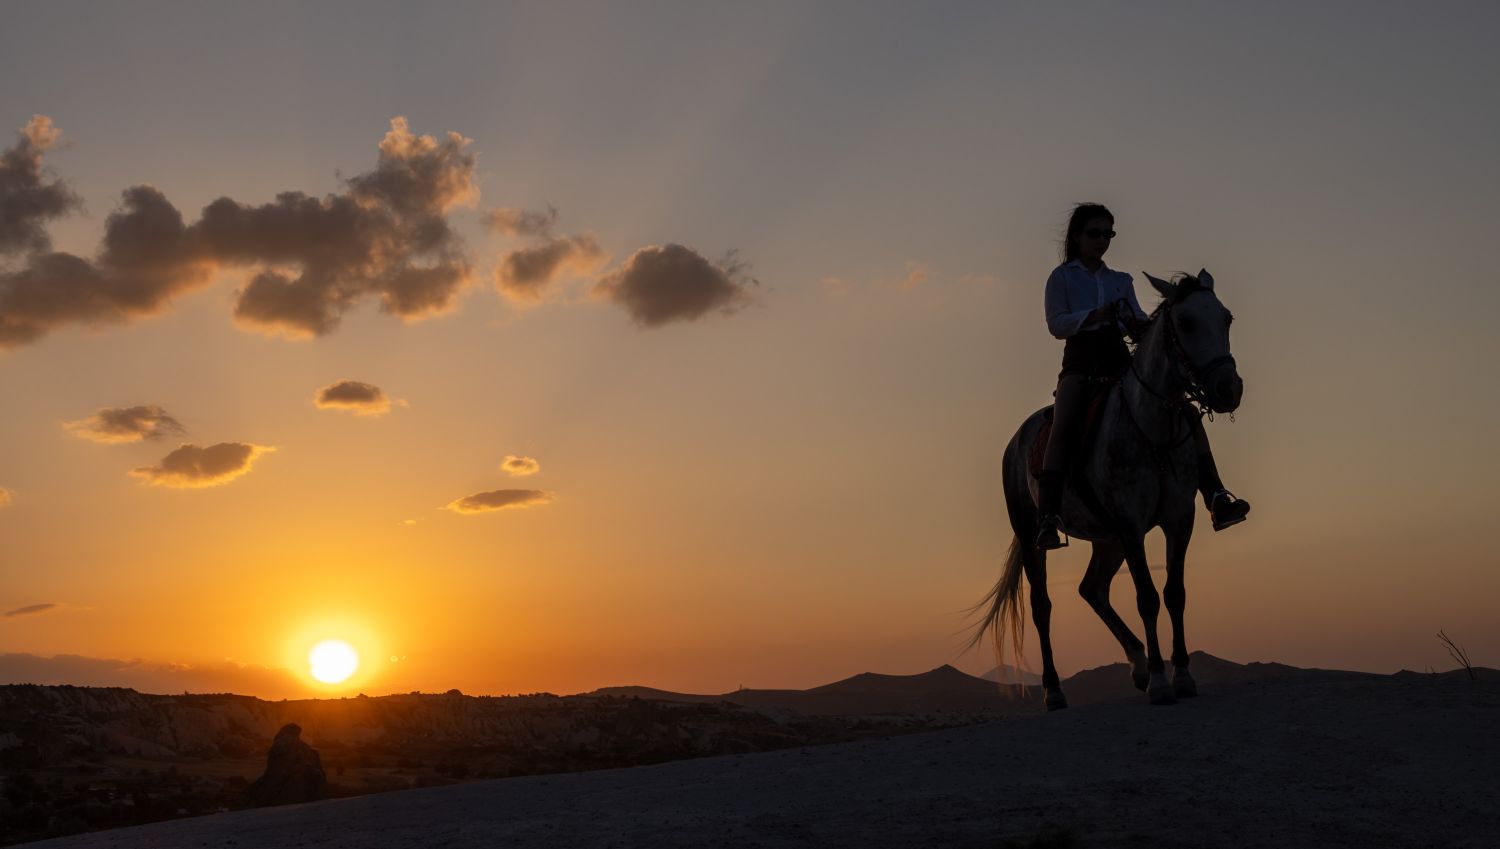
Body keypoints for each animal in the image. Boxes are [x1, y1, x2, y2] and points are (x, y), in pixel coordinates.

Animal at [972, 270, 1242, 708]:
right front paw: (1162, 682)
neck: (1151, 429)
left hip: (1107, 539)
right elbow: (1147, 597)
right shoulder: (1132, 525)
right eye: (1186, 322)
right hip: (1034, 537)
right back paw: (1054, 690)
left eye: (1226, 318)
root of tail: (1015, 442)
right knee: (1042, 606)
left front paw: (1181, 675)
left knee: (1092, 588)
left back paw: (1137, 664)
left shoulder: (1178, 519)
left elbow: (1174, 593)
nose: (1228, 388)